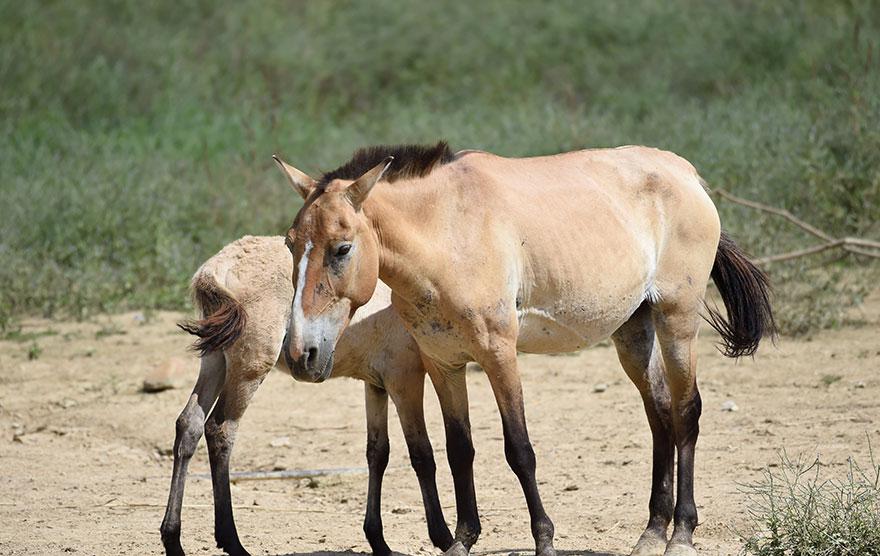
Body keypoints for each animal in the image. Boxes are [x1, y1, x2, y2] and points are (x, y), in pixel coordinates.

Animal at [159, 236, 458, 556]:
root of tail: (215, 267)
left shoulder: (375, 385)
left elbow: (377, 453)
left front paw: (379, 542)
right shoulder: (403, 379)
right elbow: (422, 454)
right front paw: (443, 536)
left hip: (216, 360)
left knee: (189, 424)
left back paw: (173, 540)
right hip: (249, 368)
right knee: (220, 429)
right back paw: (233, 542)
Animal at [276, 142, 776, 556]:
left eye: (342, 249)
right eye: (290, 244)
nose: (301, 354)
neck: (449, 234)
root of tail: (688, 174)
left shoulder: (498, 356)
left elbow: (519, 449)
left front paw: (544, 540)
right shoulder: (443, 364)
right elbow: (459, 449)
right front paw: (463, 540)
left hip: (677, 322)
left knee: (687, 412)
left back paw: (682, 534)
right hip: (634, 333)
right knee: (660, 416)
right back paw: (652, 532)